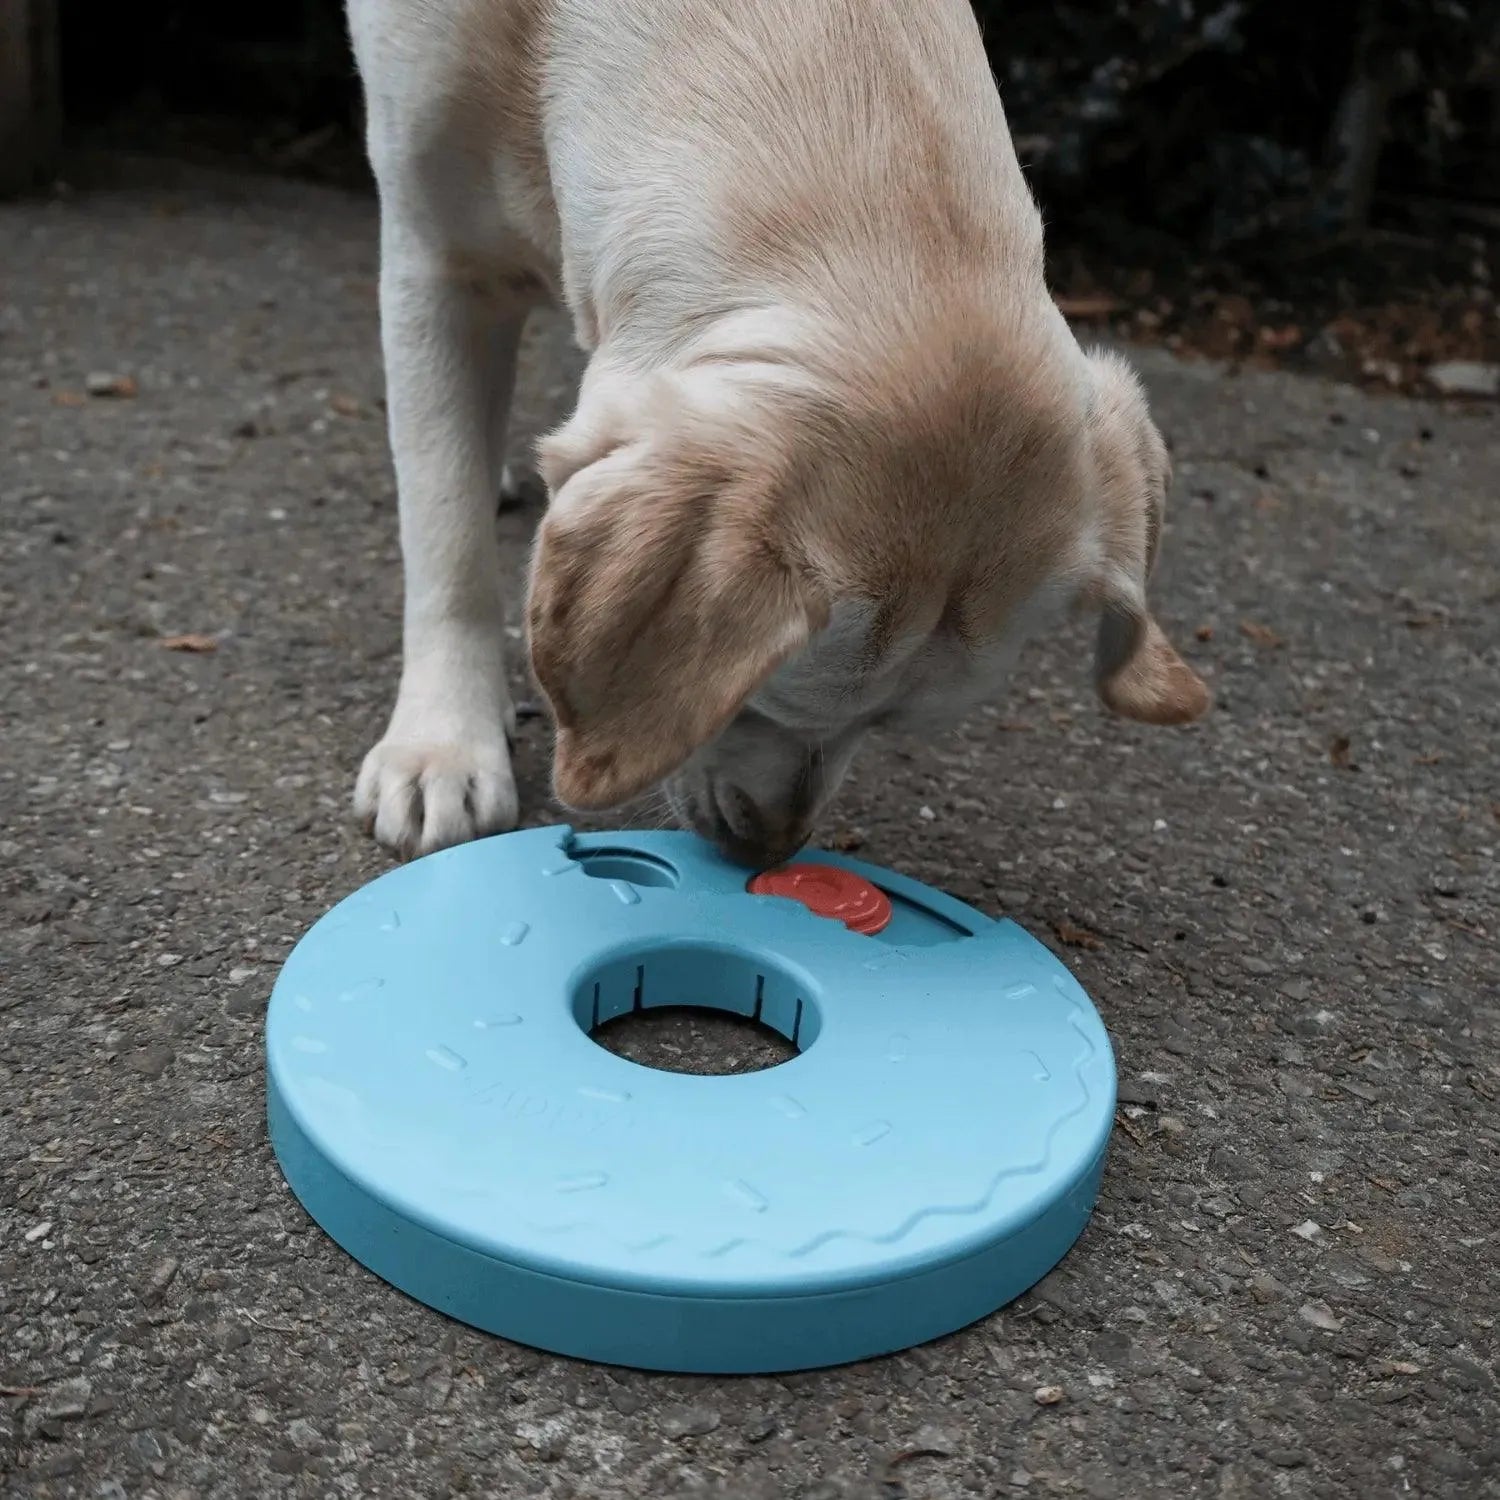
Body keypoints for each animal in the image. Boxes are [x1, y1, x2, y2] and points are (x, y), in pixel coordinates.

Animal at [348, 0, 1206, 870]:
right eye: (751, 701)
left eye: (888, 725)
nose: (770, 848)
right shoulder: (437, 264)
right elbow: (448, 538)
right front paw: (443, 746)